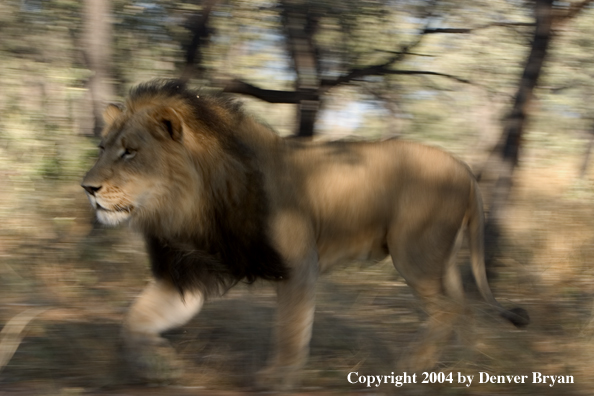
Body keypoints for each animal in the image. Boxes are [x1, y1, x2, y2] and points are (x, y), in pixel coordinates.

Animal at [80, 79, 528, 388]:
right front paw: (161, 366)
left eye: (130, 152)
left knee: (448, 311)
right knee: (465, 308)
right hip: (442, 258)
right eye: (102, 148)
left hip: (415, 253)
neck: (191, 203)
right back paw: (464, 366)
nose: (87, 188)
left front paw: (278, 378)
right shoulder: (194, 272)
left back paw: (409, 369)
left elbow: (290, 329)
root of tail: (466, 170)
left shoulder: (298, 264)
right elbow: (133, 322)